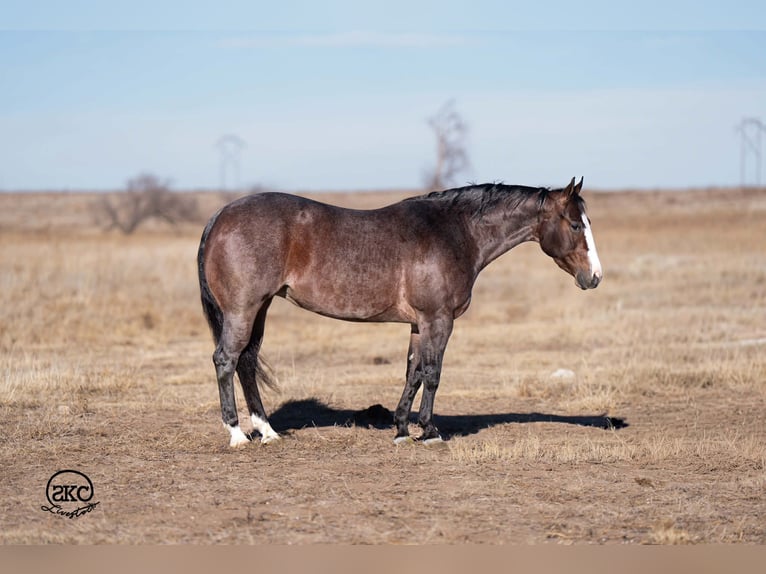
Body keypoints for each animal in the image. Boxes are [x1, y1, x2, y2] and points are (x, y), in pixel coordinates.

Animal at [197, 177, 602, 447]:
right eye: (574, 224)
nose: (594, 277)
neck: (455, 233)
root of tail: (220, 216)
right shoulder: (439, 319)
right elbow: (433, 374)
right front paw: (430, 432)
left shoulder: (419, 324)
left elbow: (413, 372)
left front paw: (403, 429)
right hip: (243, 309)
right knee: (226, 360)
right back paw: (237, 434)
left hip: (260, 308)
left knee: (247, 362)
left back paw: (267, 431)